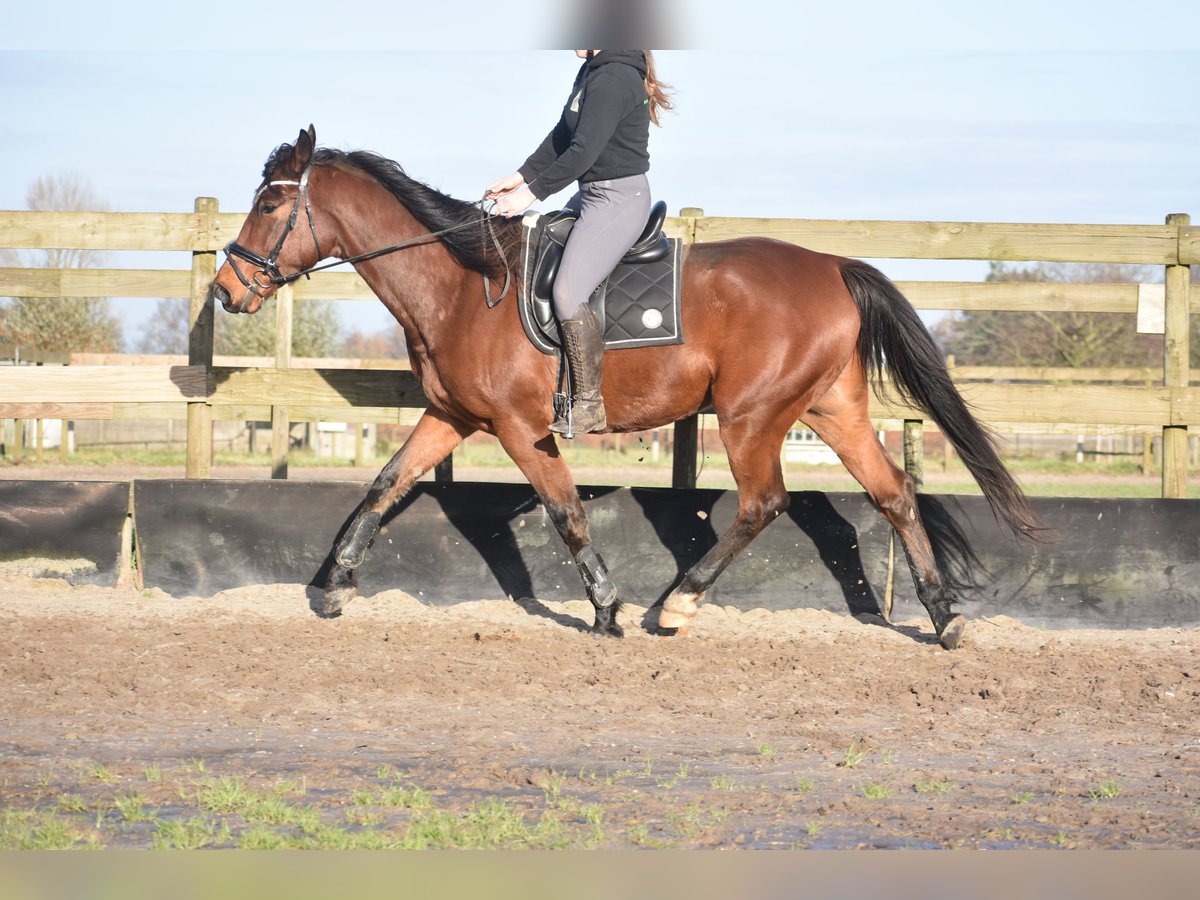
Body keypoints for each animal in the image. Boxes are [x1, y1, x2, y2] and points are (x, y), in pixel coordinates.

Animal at [211, 127, 1036, 648]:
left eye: (272, 205)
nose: (225, 291)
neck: (461, 286)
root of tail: (833, 265)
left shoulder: (519, 429)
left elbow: (566, 514)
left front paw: (607, 610)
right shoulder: (450, 416)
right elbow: (385, 485)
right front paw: (335, 585)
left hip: (752, 415)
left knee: (764, 503)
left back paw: (676, 608)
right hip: (832, 409)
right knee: (893, 493)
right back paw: (942, 618)